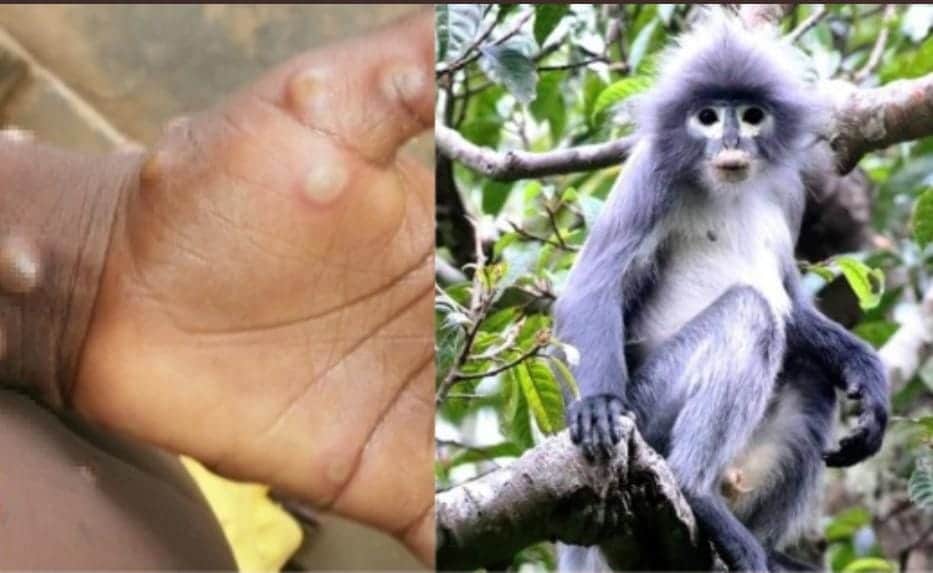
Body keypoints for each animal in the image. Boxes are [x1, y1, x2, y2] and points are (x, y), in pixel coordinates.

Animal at [552, 12, 888, 572]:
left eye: (751, 116)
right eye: (708, 118)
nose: (731, 139)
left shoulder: (788, 192)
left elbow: (791, 302)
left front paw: (866, 370)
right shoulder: (652, 173)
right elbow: (591, 283)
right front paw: (595, 405)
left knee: (809, 369)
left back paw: (764, 548)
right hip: (648, 411)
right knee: (749, 313)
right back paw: (697, 491)